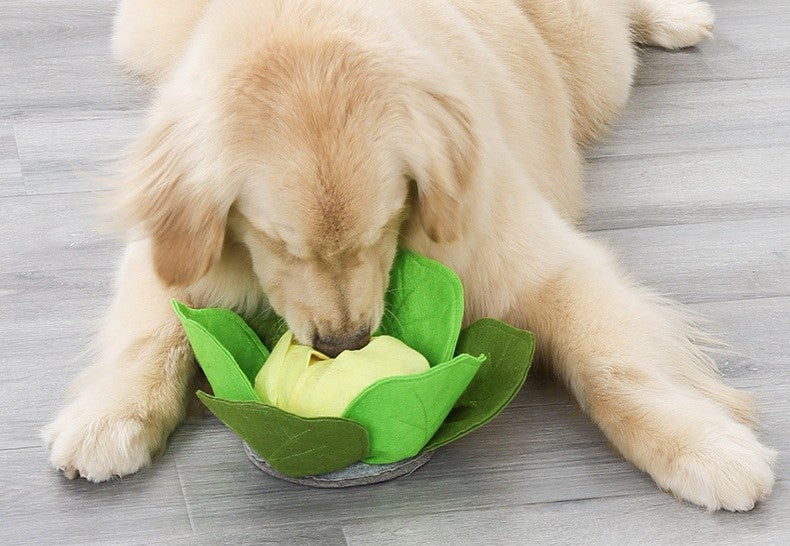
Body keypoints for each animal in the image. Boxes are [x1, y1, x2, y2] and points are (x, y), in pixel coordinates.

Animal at [40, 0, 776, 510]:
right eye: (278, 243)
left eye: (386, 224)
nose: (343, 345)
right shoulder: (176, 245)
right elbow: (153, 332)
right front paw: (107, 417)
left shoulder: (530, 258)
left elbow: (617, 365)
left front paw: (705, 448)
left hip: (596, 65)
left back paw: (673, 17)